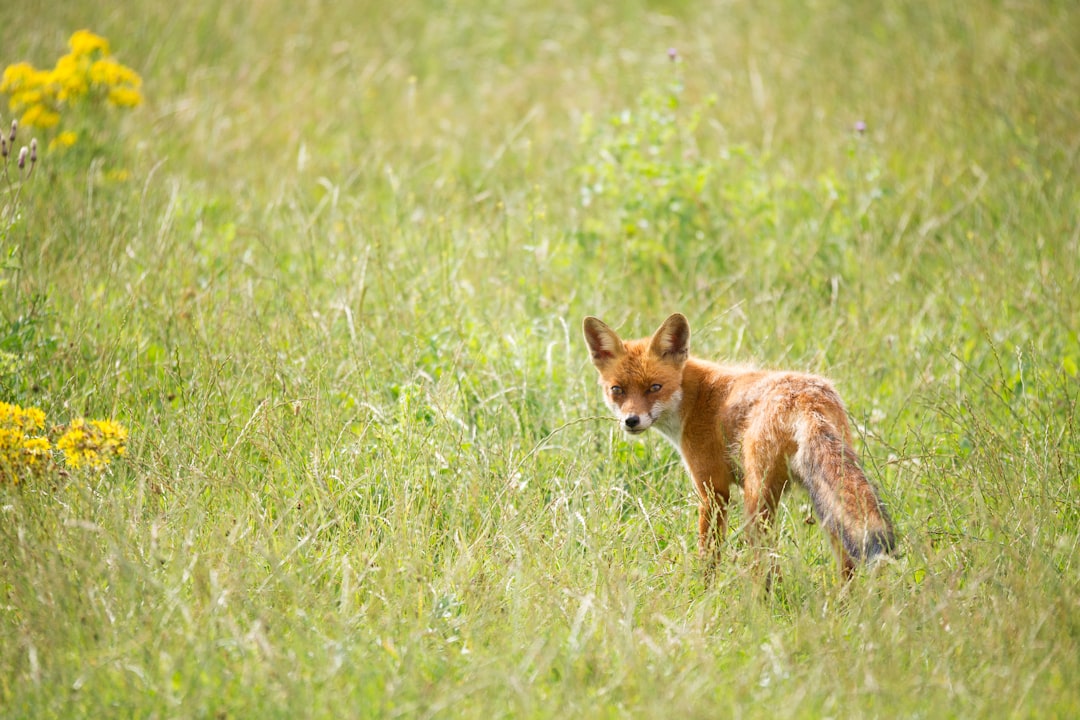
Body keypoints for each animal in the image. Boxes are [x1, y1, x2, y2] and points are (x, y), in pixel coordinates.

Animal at [583, 313, 894, 578]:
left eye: (655, 388)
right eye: (617, 390)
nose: (631, 421)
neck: (695, 399)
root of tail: (808, 398)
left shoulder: (713, 491)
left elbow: (709, 555)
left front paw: (703, 593)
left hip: (757, 500)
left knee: (765, 563)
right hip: (827, 501)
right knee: (846, 563)